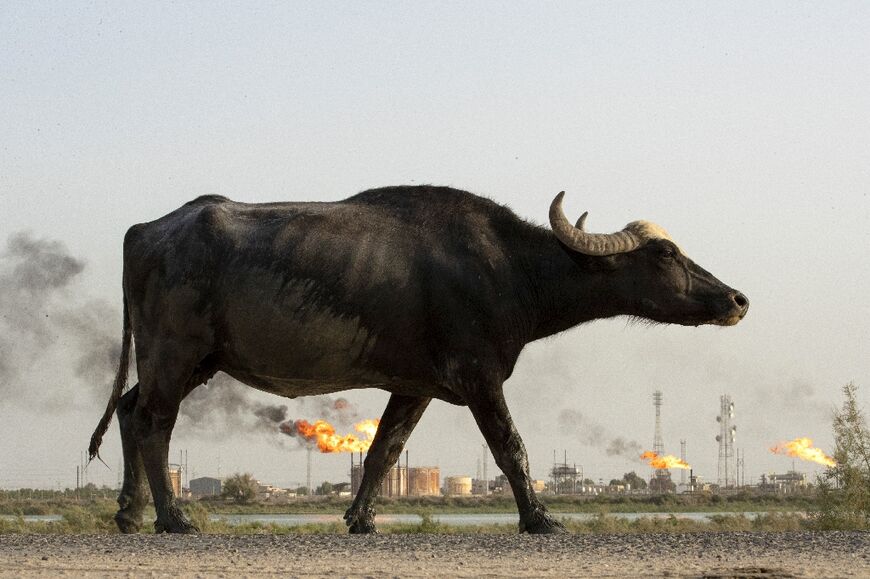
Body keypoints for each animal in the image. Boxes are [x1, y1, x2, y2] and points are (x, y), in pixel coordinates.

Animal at [88, 186, 748, 536]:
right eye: (664, 254)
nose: (737, 299)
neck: (511, 270)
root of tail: (146, 230)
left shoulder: (415, 387)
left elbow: (384, 451)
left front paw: (361, 519)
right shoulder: (479, 377)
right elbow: (511, 448)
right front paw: (539, 518)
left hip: (186, 363)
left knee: (128, 410)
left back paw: (128, 513)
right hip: (175, 355)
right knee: (153, 422)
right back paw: (171, 517)